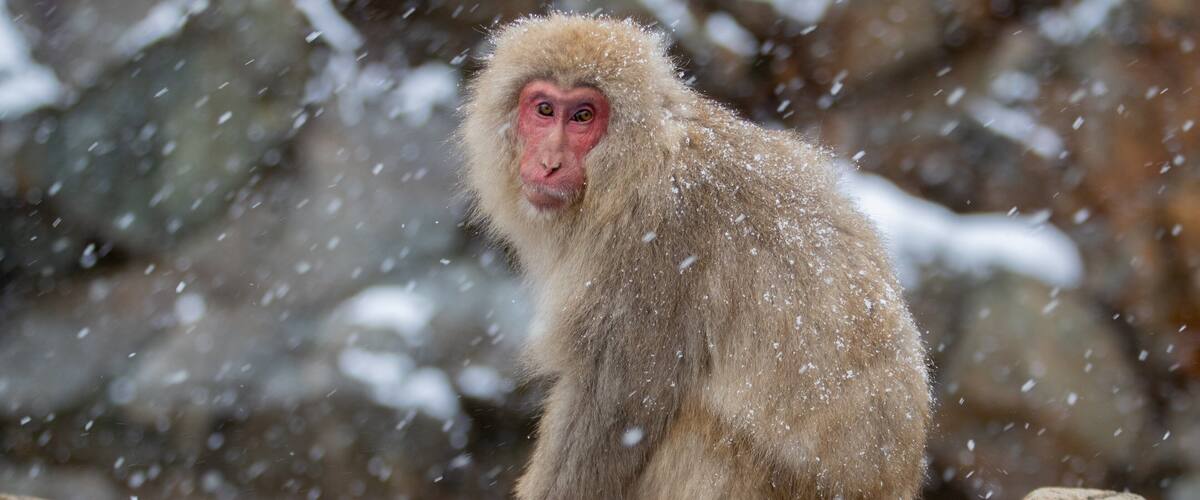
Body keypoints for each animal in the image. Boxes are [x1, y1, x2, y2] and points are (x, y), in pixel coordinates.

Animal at [460, 14, 931, 500]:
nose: (548, 162)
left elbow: (619, 406)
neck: (635, 168)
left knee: (697, 431)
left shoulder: (651, 248)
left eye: (582, 116)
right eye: (544, 110)